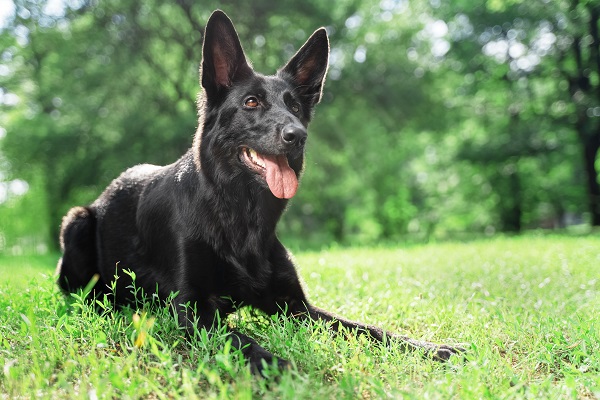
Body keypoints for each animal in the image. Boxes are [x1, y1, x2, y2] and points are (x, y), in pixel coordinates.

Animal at [57, 10, 464, 376]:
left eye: (296, 106)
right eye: (251, 102)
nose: (298, 135)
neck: (241, 218)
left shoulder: (297, 307)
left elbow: (367, 329)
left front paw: (429, 347)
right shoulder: (193, 311)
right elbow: (241, 339)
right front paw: (280, 366)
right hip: (76, 221)